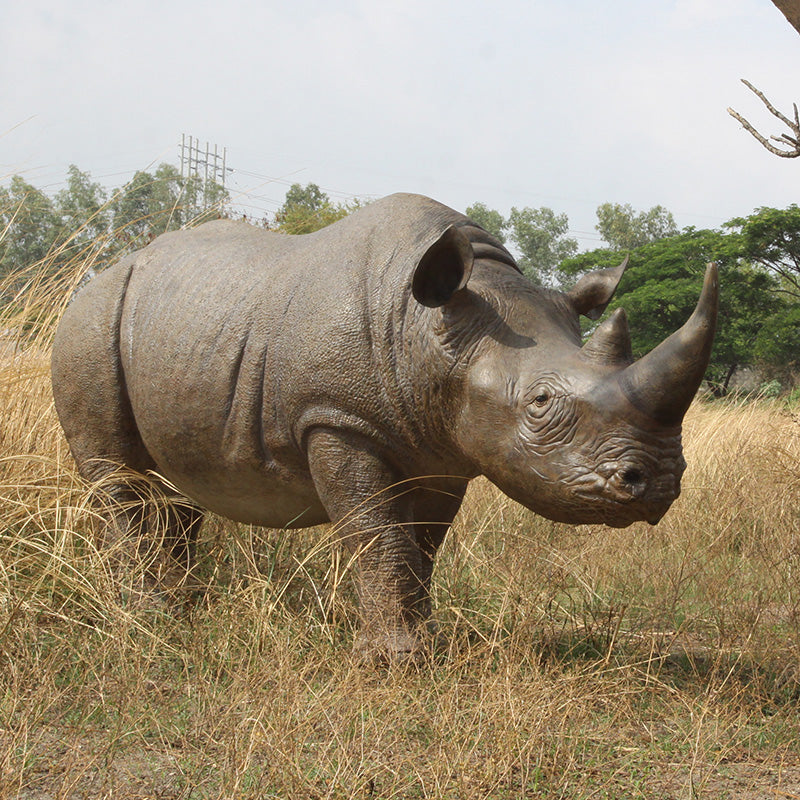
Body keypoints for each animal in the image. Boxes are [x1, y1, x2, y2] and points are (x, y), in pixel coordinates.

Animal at [51, 193, 717, 658]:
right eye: (540, 401)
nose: (658, 482)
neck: (433, 330)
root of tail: (96, 278)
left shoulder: (446, 448)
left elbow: (420, 542)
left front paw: (427, 643)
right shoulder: (334, 418)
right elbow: (376, 531)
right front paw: (395, 661)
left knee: (169, 486)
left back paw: (186, 609)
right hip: (88, 323)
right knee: (117, 476)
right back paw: (151, 618)